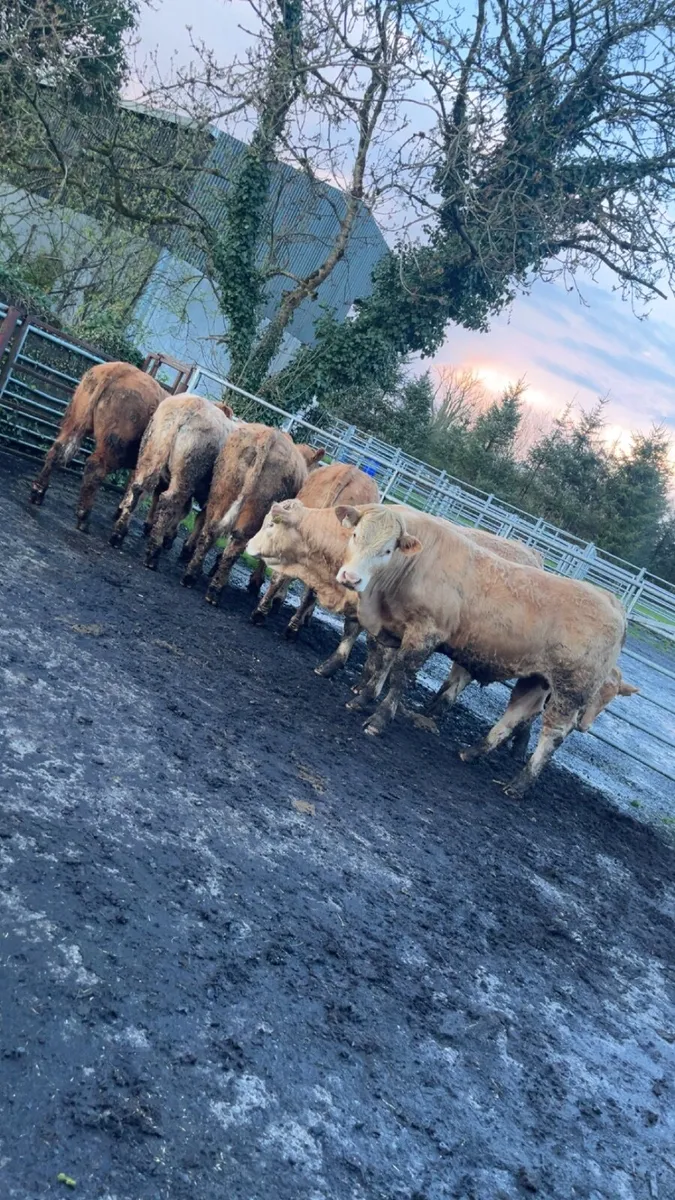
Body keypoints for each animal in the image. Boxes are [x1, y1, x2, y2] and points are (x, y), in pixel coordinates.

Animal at [30, 361, 166, 530]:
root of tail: (121, 368)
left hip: (75, 421)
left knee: (57, 450)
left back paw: (38, 491)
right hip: (115, 447)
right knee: (95, 469)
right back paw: (83, 517)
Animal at [108, 394, 235, 569]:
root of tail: (186, 408)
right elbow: (197, 517)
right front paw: (182, 546)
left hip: (152, 450)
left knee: (139, 488)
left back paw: (118, 533)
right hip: (188, 471)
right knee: (169, 501)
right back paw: (153, 553)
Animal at [180, 423, 325, 604]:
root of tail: (268, 435)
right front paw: (255, 583)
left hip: (221, 495)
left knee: (208, 531)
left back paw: (190, 575)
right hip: (255, 514)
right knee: (235, 547)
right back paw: (214, 591)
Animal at [334, 504, 627, 796]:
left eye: (387, 550)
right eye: (355, 535)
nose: (351, 577)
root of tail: (610, 601)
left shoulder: (425, 633)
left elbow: (399, 676)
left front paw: (378, 719)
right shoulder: (393, 629)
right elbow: (381, 663)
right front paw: (361, 699)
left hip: (570, 690)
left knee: (553, 733)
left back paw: (519, 785)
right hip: (537, 680)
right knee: (516, 715)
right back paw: (472, 752)